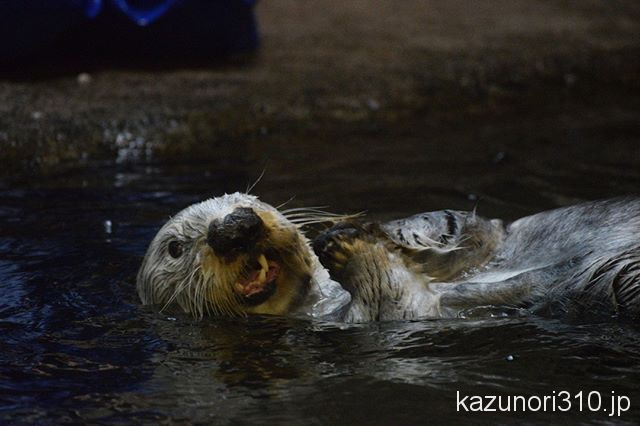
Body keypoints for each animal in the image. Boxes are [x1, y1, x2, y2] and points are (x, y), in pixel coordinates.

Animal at [136, 195, 640, 322]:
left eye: (243, 199)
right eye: (175, 248)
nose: (235, 226)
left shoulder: (485, 234)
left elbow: (465, 225)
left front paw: (375, 230)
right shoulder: (391, 316)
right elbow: (397, 299)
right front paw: (345, 248)